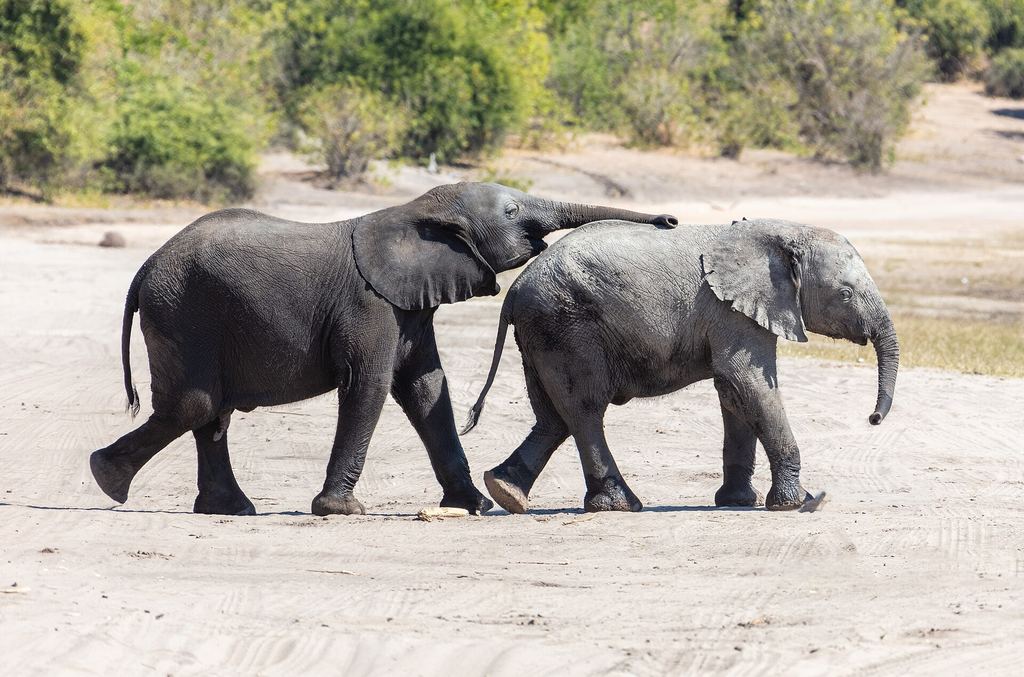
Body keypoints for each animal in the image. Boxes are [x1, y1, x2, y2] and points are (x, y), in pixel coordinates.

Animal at [88, 182, 677, 516]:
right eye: (511, 212)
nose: (670, 220)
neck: (415, 211)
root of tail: (144, 267)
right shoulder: (369, 303)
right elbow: (368, 386)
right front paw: (341, 511)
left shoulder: (409, 306)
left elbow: (427, 390)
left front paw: (476, 506)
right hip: (183, 314)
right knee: (196, 405)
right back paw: (107, 480)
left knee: (210, 413)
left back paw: (228, 510)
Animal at [461, 217, 899, 513]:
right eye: (845, 294)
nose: (874, 418)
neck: (781, 231)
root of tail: (514, 289)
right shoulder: (732, 312)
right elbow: (749, 383)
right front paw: (800, 503)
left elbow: (735, 394)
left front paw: (737, 502)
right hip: (565, 326)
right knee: (584, 410)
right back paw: (621, 505)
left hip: (542, 335)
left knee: (554, 417)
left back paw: (506, 493)